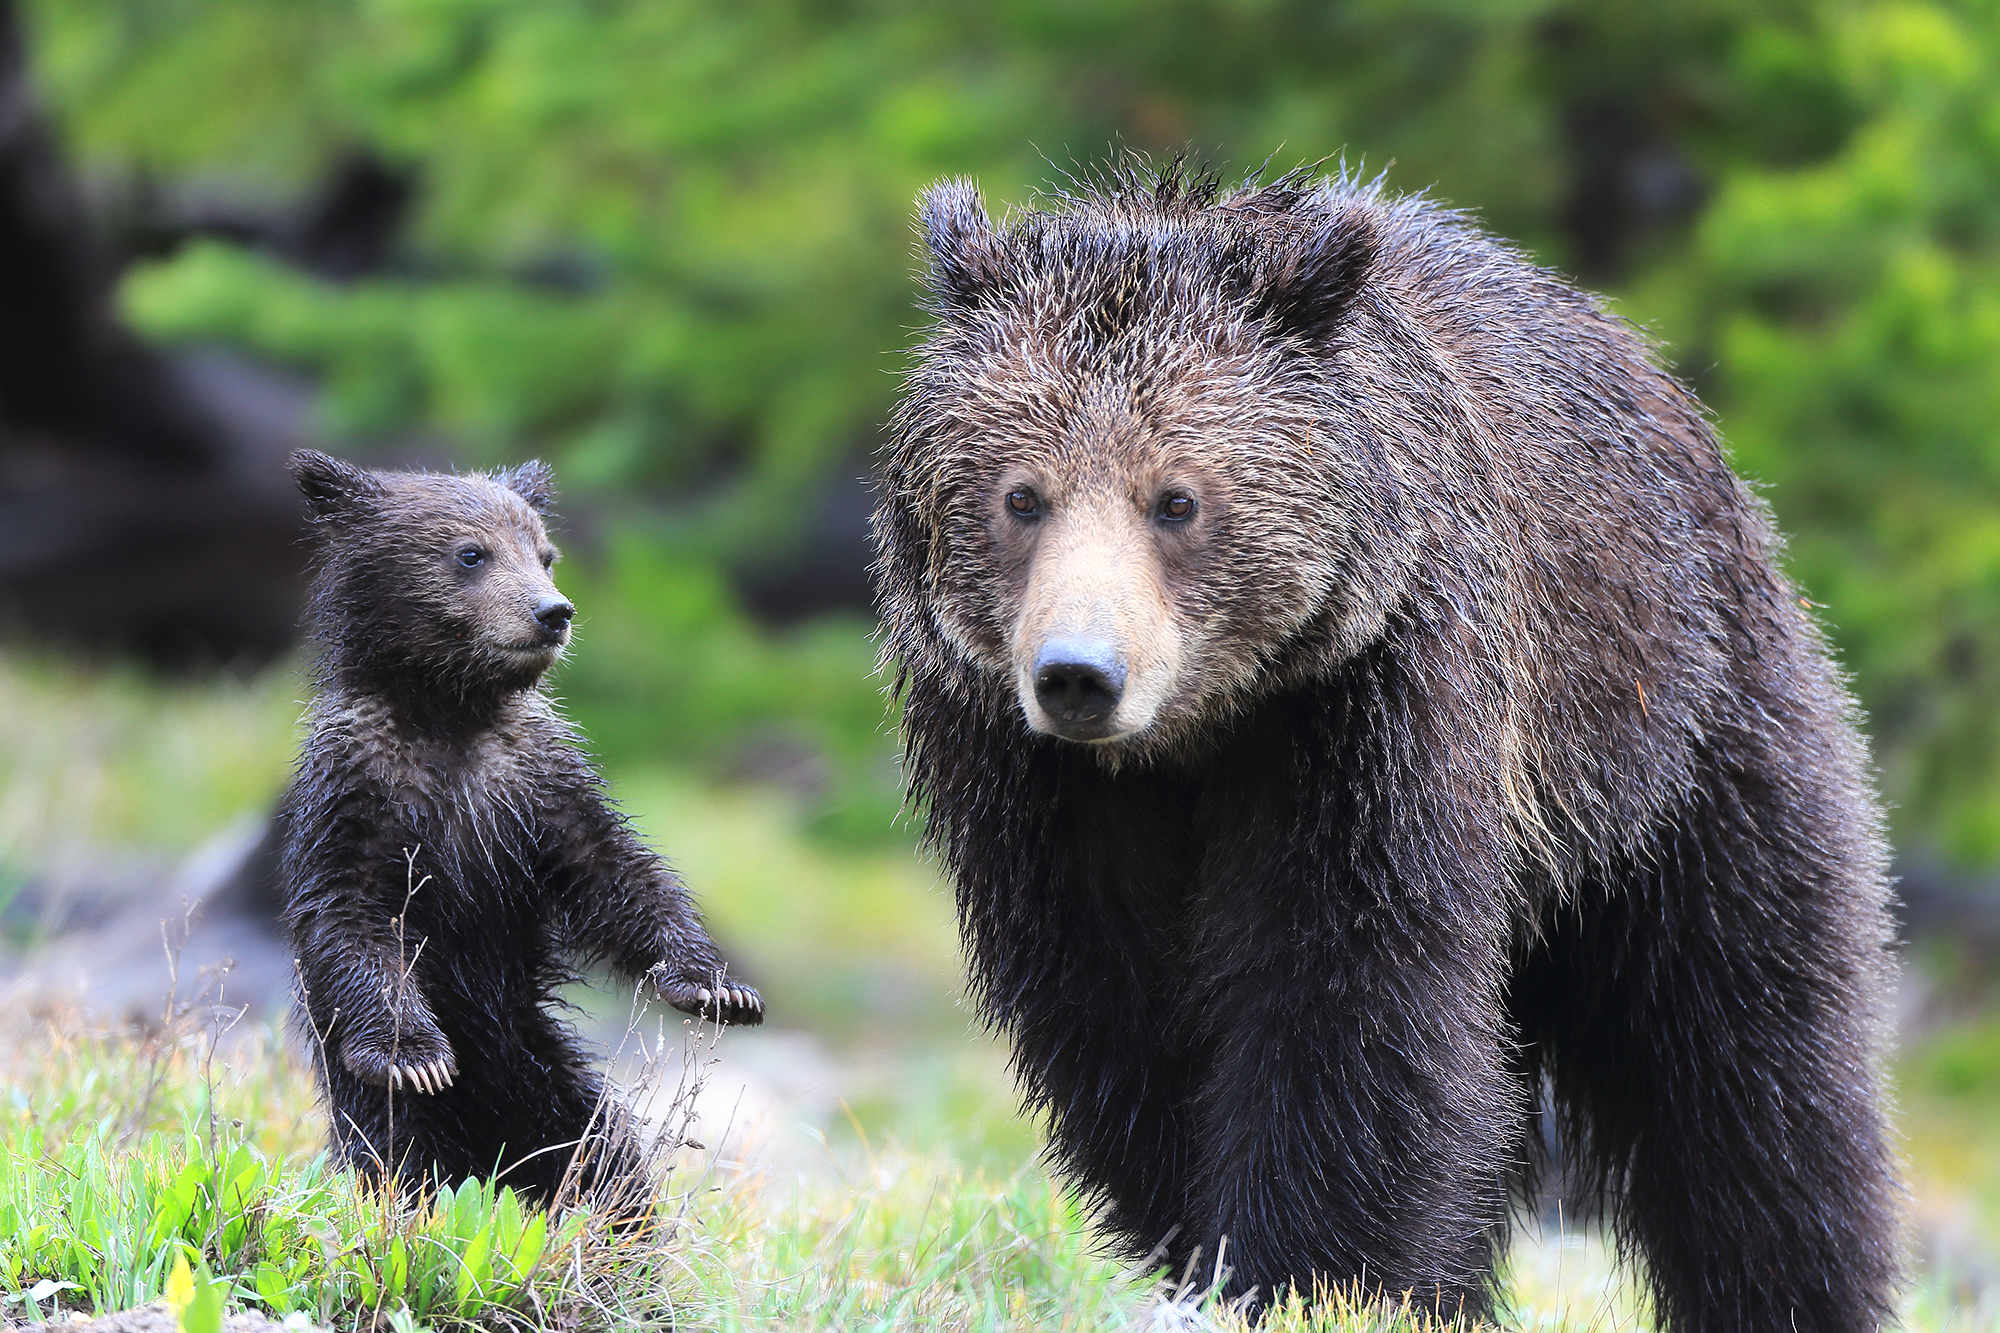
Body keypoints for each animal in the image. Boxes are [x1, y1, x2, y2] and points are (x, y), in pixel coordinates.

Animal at [279, 449, 762, 1207]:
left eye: (545, 553)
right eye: (471, 553)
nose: (553, 611)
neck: (449, 713)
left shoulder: (535, 786)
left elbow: (616, 874)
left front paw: (716, 984)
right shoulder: (358, 791)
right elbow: (353, 917)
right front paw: (414, 1054)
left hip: (546, 1069)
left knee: (601, 1156)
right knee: (399, 1160)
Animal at [872, 162, 1900, 1330]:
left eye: (1175, 498)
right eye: (1021, 495)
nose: (1080, 675)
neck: (1194, 739)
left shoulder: (1374, 708)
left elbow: (1349, 988)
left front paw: (1306, 1269)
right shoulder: (1035, 781)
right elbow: (1122, 1005)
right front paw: (1210, 1241)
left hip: (1676, 743)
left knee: (1749, 1057)